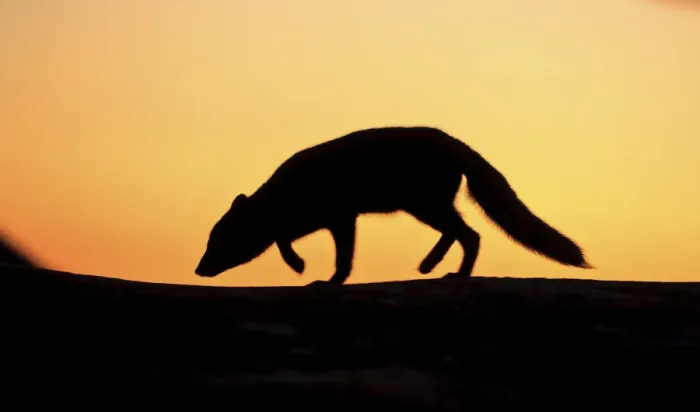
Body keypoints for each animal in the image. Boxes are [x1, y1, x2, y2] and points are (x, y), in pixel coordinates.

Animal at [195, 126, 592, 286]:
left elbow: (334, 256)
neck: (286, 193)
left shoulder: (341, 217)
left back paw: (452, 272)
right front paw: (308, 268)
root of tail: (458, 143)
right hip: (426, 207)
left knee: (470, 235)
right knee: (461, 233)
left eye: (218, 241)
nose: (198, 269)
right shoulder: (329, 220)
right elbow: (284, 238)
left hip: (425, 205)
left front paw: (312, 273)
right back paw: (432, 265)